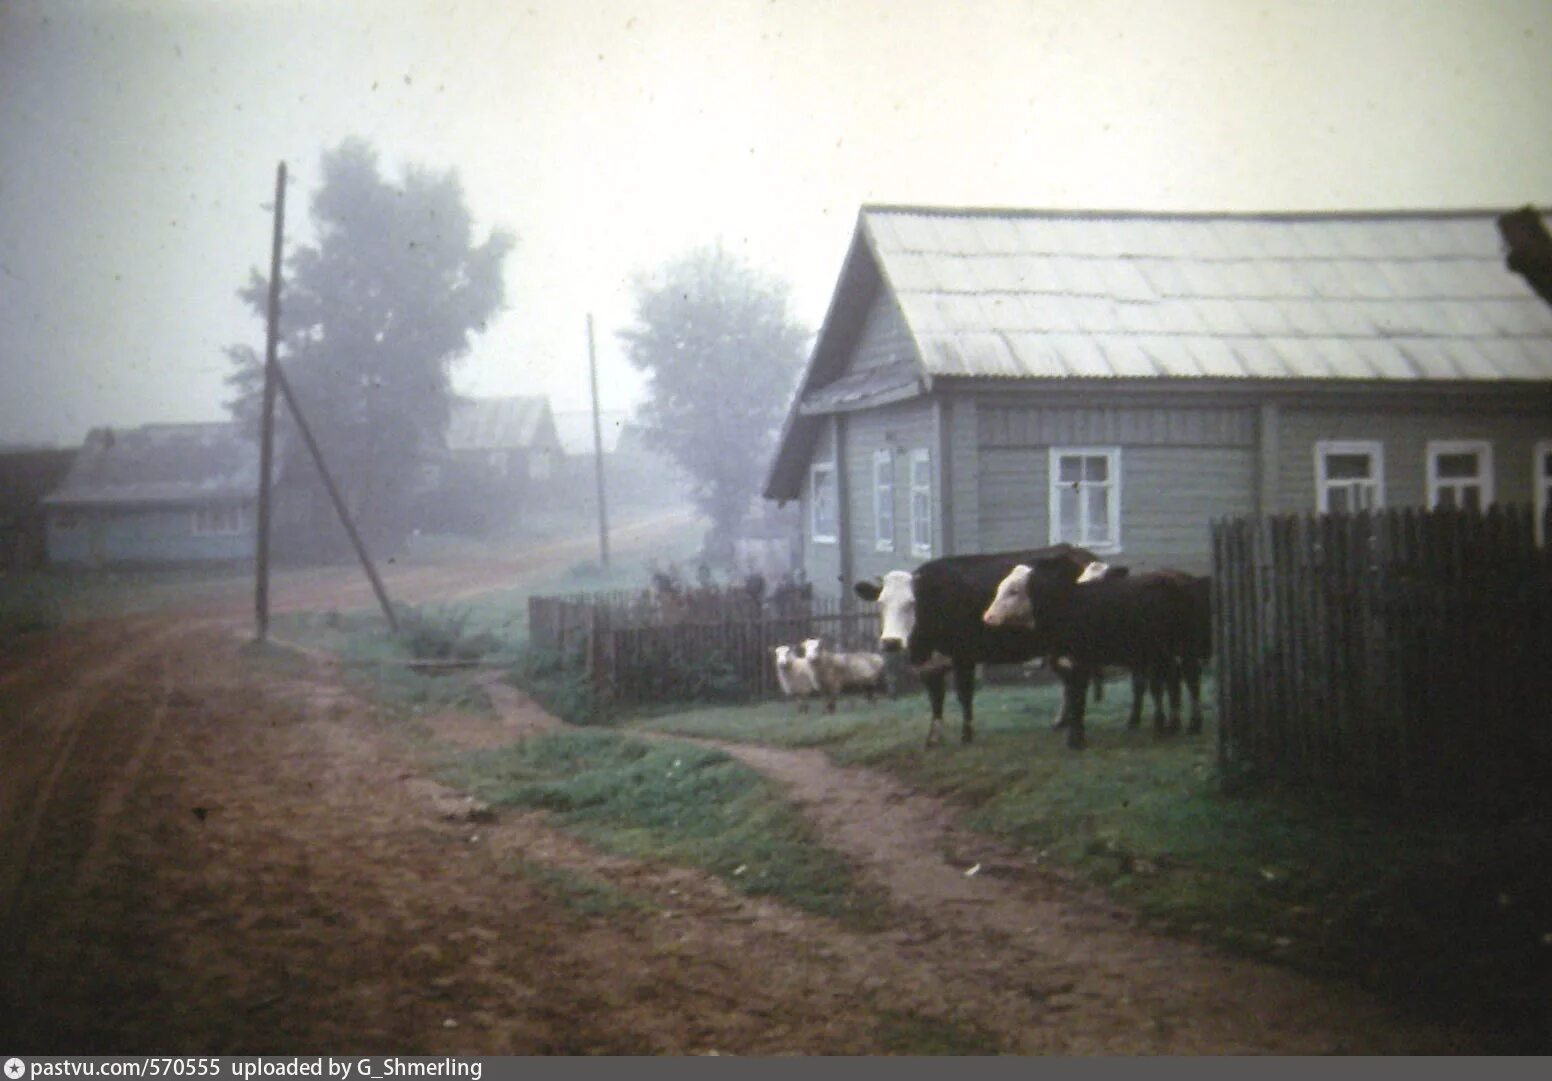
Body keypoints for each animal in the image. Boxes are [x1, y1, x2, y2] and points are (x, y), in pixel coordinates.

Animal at [856, 542, 1098, 747]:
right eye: (881, 603)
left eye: (912, 603)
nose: (891, 642)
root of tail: (1079, 553)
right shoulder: (929, 664)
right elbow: (936, 698)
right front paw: (933, 738)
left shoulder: (964, 656)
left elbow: (964, 694)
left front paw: (967, 735)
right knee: (1069, 681)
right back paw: (1063, 722)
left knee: (1078, 680)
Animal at [987, 552, 1204, 747]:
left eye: (1014, 590)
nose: (988, 617)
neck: (1067, 607)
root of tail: (1174, 581)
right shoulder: (1069, 664)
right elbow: (1074, 698)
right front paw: (1073, 735)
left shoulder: (1082, 663)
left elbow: (1079, 699)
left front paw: (1076, 740)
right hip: (1161, 654)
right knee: (1173, 680)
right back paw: (1170, 726)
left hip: (1184, 647)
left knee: (1190, 679)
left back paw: (1192, 725)